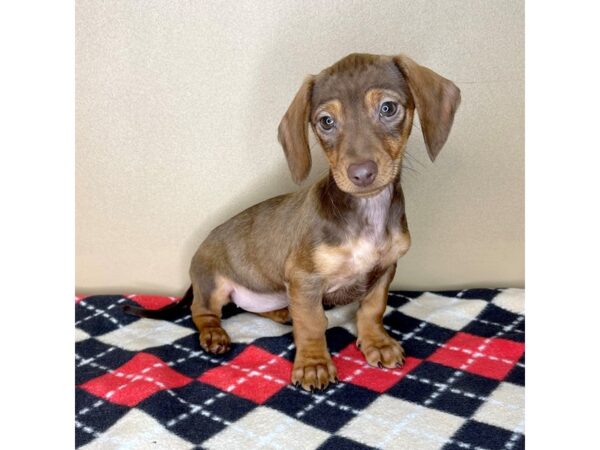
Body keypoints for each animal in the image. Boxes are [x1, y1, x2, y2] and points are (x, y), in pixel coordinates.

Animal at [122, 51, 460, 390]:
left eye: (388, 108)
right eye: (326, 122)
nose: (361, 173)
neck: (366, 213)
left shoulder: (384, 269)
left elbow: (372, 309)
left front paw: (377, 342)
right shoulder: (304, 278)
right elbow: (312, 323)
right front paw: (313, 364)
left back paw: (283, 311)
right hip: (212, 284)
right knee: (201, 312)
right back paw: (214, 333)